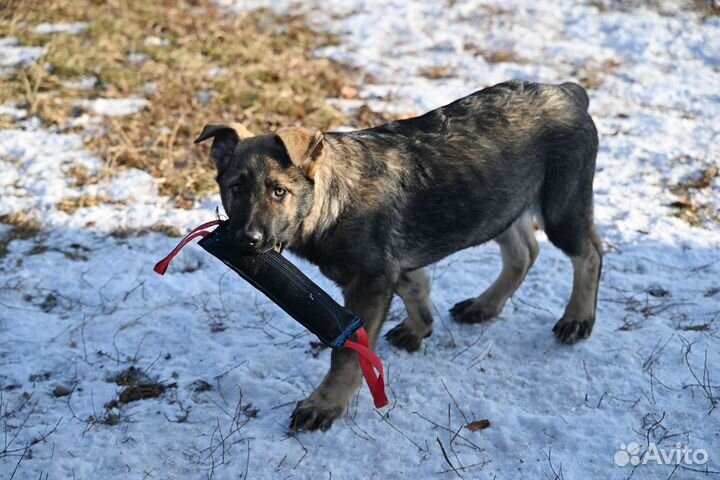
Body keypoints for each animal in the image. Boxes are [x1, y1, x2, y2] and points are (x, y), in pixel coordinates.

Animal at [195, 79, 600, 432]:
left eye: (279, 192)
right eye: (235, 189)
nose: (246, 241)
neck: (331, 200)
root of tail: (567, 92)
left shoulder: (369, 281)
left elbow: (347, 354)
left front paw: (325, 404)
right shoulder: (386, 269)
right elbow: (414, 285)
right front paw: (420, 326)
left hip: (560, 205)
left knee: (589, 253)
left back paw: (577, 318)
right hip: (499, 204)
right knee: (524, 251)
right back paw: (484, 305)